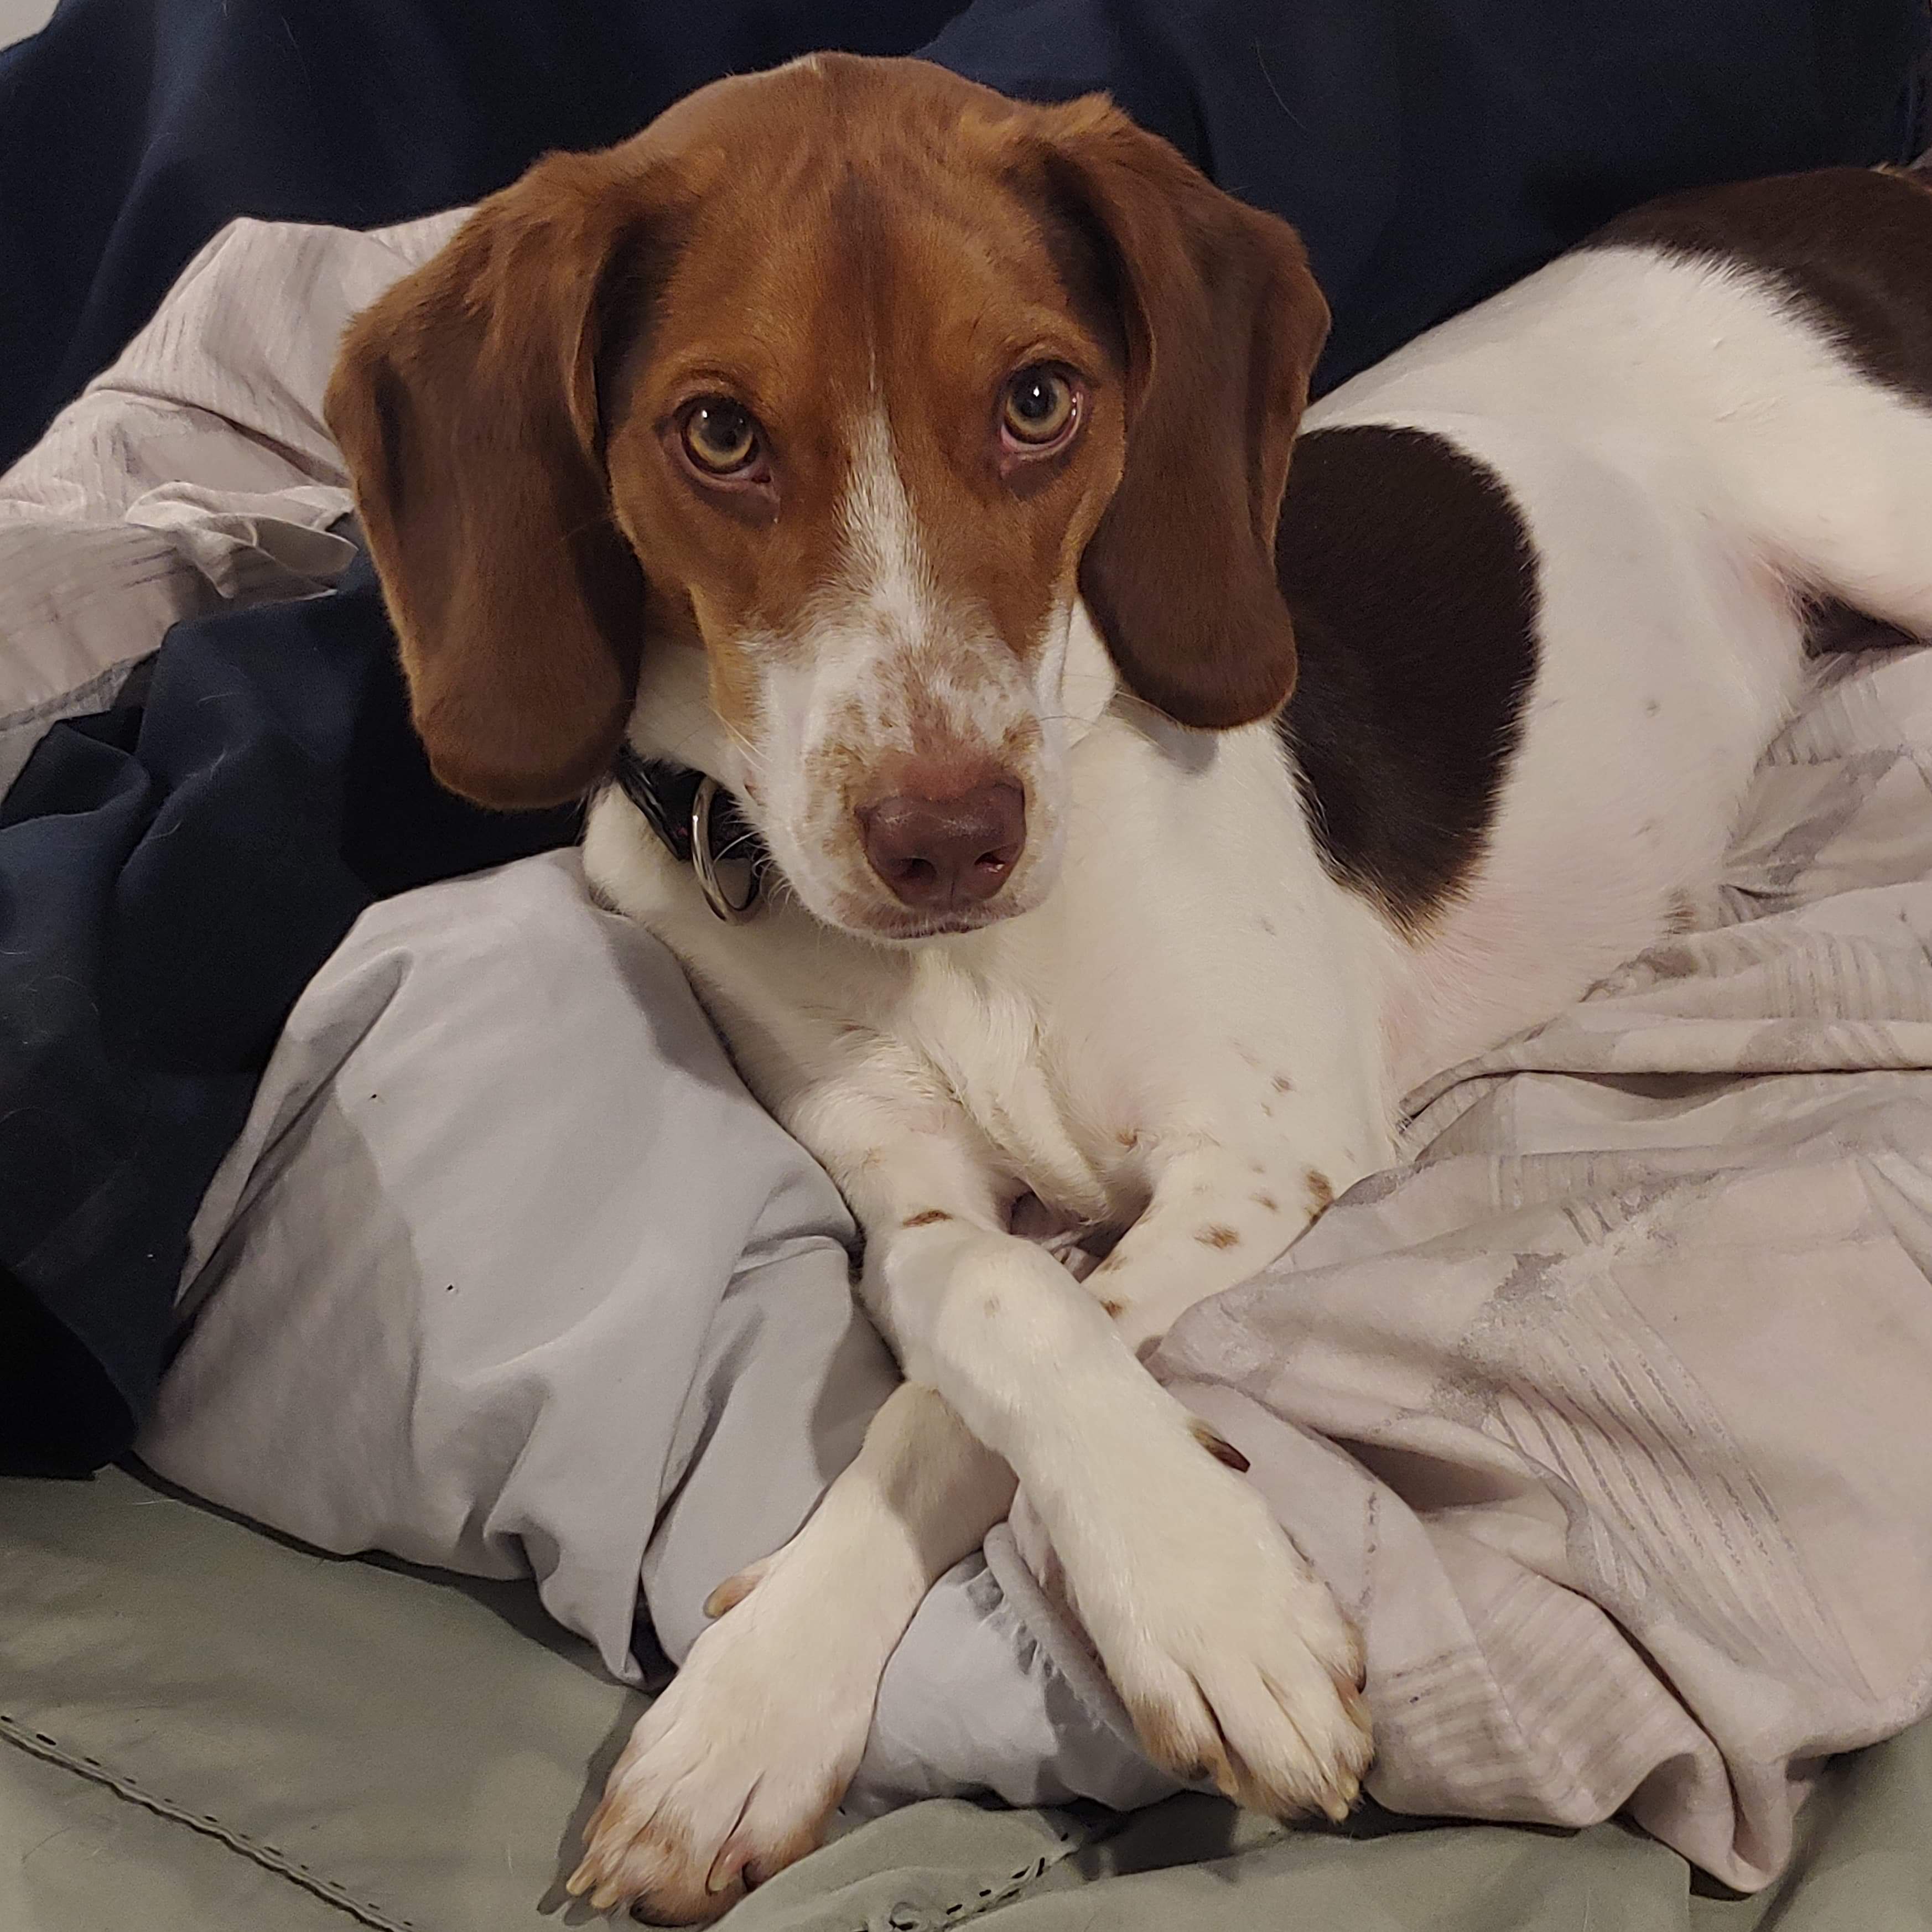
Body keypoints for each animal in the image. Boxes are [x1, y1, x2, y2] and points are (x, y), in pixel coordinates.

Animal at [324, 50, 1932, 1922]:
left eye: (1039, 400)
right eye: (718, 434)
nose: (949, 837)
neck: (972, 953)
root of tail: (1870, 187)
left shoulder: (1267, 1153)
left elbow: (1049, 1321)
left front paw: (1214, 1607)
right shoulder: (908, 1192)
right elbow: (981, 1319)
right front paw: (751, 1709)